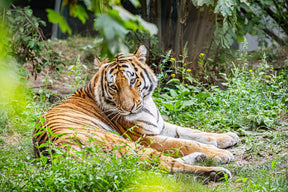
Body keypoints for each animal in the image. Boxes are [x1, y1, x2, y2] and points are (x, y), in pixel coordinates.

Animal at [33, 45, 238, 182]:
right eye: (113, 87)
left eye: (132, 81)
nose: (129, 108)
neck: (146, 104)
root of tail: (59, 151)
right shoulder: (145, 138)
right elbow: (184, 143)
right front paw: (220, 153)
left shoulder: (160, 125)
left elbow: (193, 133)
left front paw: (228, 137)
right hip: (124, 144)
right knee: (166, 164)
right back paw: (217, 172)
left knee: (153, 166)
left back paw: (201, 159)